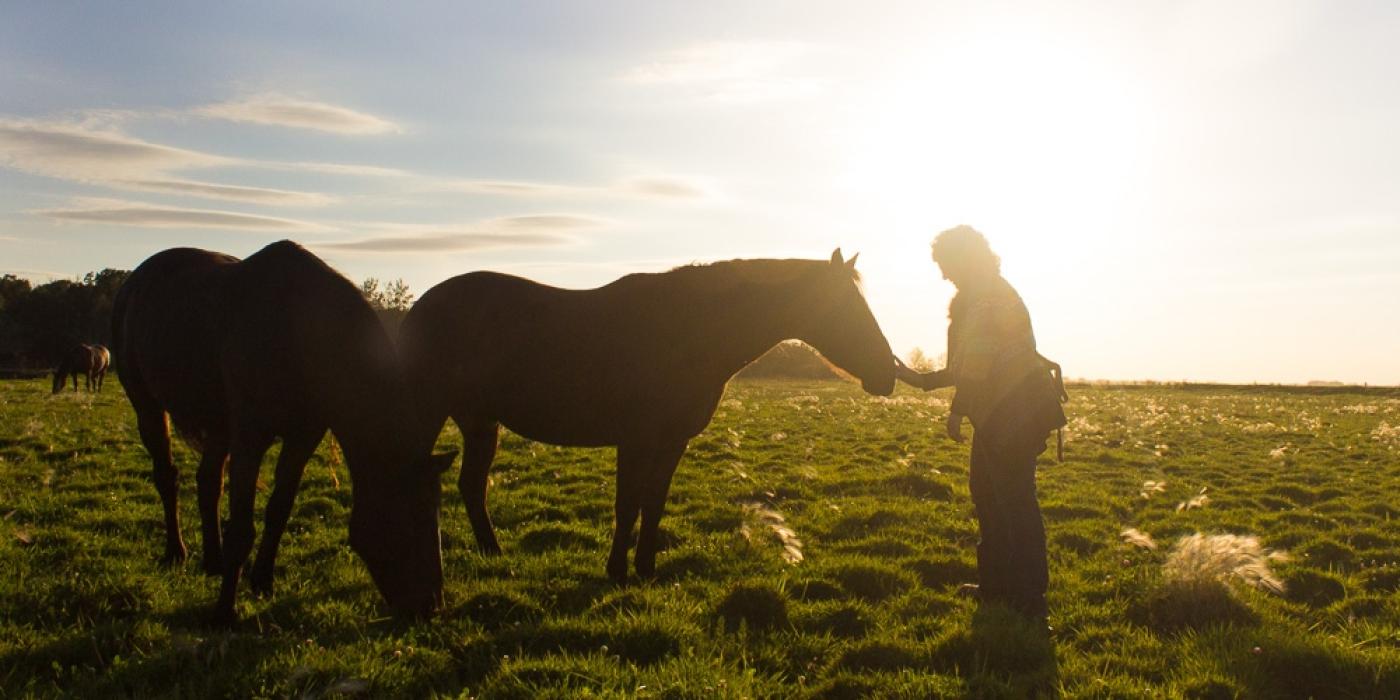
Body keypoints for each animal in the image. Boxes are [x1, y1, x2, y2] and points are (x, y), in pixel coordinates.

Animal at [112, 240, 454, 623]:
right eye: (412, 514)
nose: (430, 605)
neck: (296, 332)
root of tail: (137, 279)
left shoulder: (303, 436)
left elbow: (279, 508)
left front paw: (262, 580)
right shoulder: (250, 437)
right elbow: (242, 527)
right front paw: (225, 611)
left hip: (219, 425)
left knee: (208, 483)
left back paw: (214, 561)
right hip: (147, 405)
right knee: (167, 476)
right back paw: (176, 552)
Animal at [399, 249, 897, 582]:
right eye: (847, 308)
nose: (887, 373)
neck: (688, 330)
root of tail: (421, 306)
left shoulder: (672, 441)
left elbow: (653, 503)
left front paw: (646, 568)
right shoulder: (635, 439)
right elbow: (628, 504)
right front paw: (617, 571)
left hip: (480, 421)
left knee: (471, 485)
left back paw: (493, 554)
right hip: (429, 414)